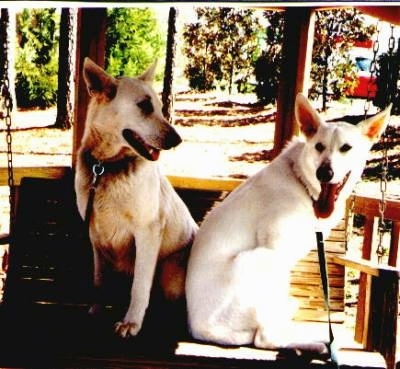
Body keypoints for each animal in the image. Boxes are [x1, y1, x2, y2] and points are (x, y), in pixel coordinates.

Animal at [75, 56, 198, 336]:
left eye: (160, 108)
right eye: (144, 105)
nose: (178, 140)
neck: (105, 166)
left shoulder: (147, 231)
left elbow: (140, 286)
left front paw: (131, 322)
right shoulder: (95, 236)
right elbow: (99, 279)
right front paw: (96, 309)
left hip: (169, 272)